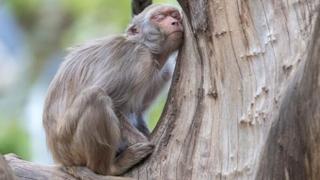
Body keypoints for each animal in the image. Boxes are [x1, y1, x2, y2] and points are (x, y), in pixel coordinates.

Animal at [42, 3, 182, 176]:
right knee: (96, 97)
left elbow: (138, 112)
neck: (149, 49)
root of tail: (60, 158)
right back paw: (110, 167)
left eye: (175, 16)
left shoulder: (164, 72)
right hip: (70, 144)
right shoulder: (137, 60)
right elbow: (115, 104)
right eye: (159, 17)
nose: (175, 22)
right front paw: (143, 141)